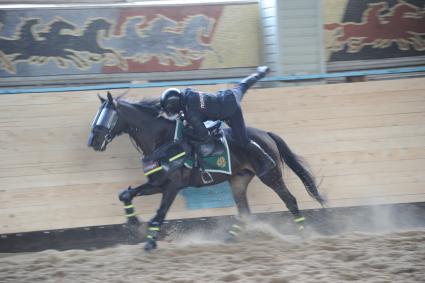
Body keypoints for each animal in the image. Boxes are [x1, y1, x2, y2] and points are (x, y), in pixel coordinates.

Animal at [87, 92, 324, 252]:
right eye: (98, 115)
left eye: (108, 116)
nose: (94, 142)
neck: (164, 140)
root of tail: (265, 134)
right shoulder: (157, 184)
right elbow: (125, 194)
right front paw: (134, 222)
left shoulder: (172, 186)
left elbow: (160, 214)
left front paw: (150, 242)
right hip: (238, 180)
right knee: (245, 212)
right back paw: (230, 239)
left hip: (270, 176)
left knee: (290, 200)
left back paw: (304, 233)